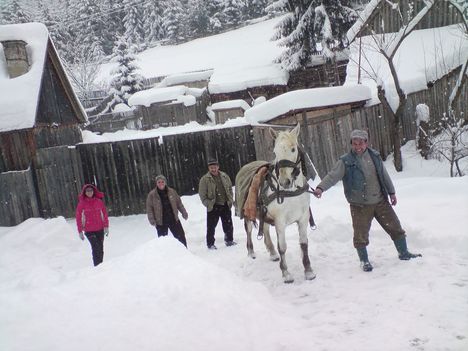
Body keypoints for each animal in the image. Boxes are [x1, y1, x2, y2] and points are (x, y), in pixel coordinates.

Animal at [236, 125, 316, 284]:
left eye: (293, 149)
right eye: (275, 152)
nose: (285, 181)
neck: (291, 192)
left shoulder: (303, 217)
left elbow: (304, 244)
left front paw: (308, 271)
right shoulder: (280, 221)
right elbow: (283, 247)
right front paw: (286, 274)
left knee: (265, 229)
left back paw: (272, 253)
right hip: (248, 214)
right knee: (249, 230)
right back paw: (251, 252)